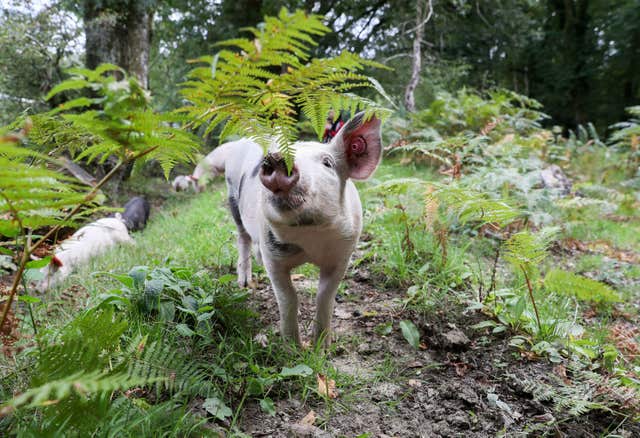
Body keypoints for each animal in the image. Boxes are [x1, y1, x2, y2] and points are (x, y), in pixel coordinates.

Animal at [211, 112, 380, 346]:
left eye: (327, 163)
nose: (278, 159)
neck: (309, 237)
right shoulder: (274, 258)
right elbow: (288, 298)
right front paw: (292, 348)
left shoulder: (343, 255)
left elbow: (325, 296)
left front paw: (322, 347)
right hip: (232, 200)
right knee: (243, 238)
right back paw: (244, 284)